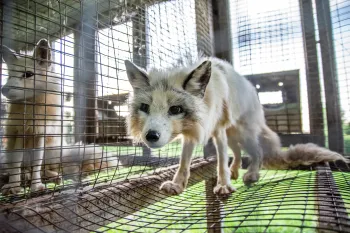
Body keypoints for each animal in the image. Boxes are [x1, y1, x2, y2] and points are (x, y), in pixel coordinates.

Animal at [0, 38, 118, 195]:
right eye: (9, 76)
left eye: (28, 74)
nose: (3, 89)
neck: (32, 112)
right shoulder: (20, 132)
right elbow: (16, 164)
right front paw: (13, 186)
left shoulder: (40, 134)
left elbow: (37, 164)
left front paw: (36, 186)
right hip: (8, 152)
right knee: (24, 168)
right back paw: (21, 178)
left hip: (51, 150)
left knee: (46, 170)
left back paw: (52, 178)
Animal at [124, 57, 348, 196]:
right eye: (145, 107)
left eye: (175, 109)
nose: (151, 136)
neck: (207, 102)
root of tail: (252, 90)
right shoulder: (193, 132)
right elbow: (183, 162)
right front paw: (178, 184)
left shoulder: (217, 130)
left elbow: (221, 161)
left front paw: (223, 185)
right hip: (233, 136)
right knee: (238, 154)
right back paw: (235, 171)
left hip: (242, 134)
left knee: (257, 153)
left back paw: (252, 175)